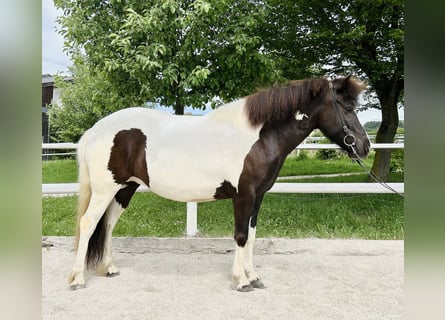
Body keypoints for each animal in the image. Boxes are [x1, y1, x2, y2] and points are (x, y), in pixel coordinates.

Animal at [67, 75, 370, 292]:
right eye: (346, 107)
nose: (364, 146)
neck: (258, 137)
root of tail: (94, 130)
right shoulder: (243, 195)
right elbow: (241, 236)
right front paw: (241, 281)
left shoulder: (258, 197)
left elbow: (252, 236)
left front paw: (253, 276)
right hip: (106, 189)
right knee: (89, 223)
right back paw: (78, 279)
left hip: (125, 189)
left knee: (107, 224)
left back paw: (109, 268)